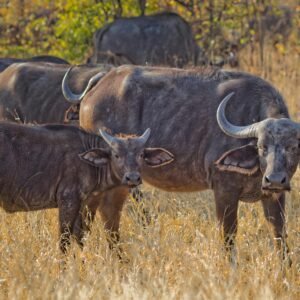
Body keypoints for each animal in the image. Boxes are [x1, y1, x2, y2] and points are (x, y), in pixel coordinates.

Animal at [0, 122, 175, 253]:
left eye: (140, 155)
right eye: (116, 155)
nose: (132, 178)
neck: (87, 162)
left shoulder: (83, 205)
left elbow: (80, 238)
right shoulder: (68, 201)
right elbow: (64, 241)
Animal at [62, 64, 298, 264]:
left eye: (294, 147)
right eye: (262, 147)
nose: (274, 179)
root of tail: (101, 80)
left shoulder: (274, 196)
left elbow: (279, 233)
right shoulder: (224, 190)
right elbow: (228, 236)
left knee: (108, 215)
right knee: (89, 218)